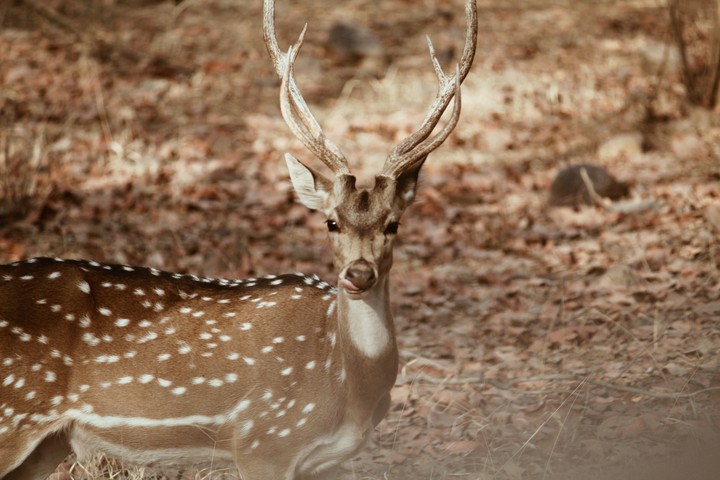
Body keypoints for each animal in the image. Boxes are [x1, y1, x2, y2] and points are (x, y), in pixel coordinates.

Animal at [0, 0, 477, 478]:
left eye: (393, 224)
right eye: (331, 222)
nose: (358, 274)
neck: (348, 389)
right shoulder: (264, 441)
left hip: (49, 443)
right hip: (12, 414)